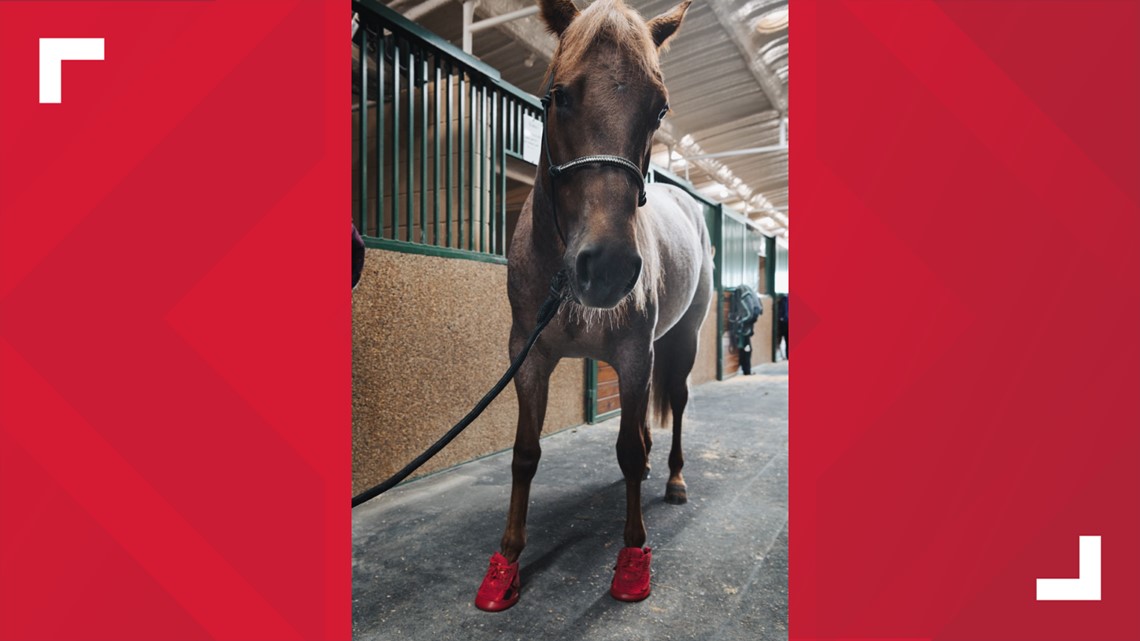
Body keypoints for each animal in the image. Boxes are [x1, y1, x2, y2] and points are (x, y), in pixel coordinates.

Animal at [474, 0, 711, 606]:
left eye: (660, 108)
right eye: (558, 95)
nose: (605, 268)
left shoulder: (632, 355)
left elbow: (626, 450)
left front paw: (632, 560)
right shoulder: (528, 355)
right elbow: (525, 453)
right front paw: (506, 562)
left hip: (681, 340)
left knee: (676, 405)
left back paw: (674, 480)